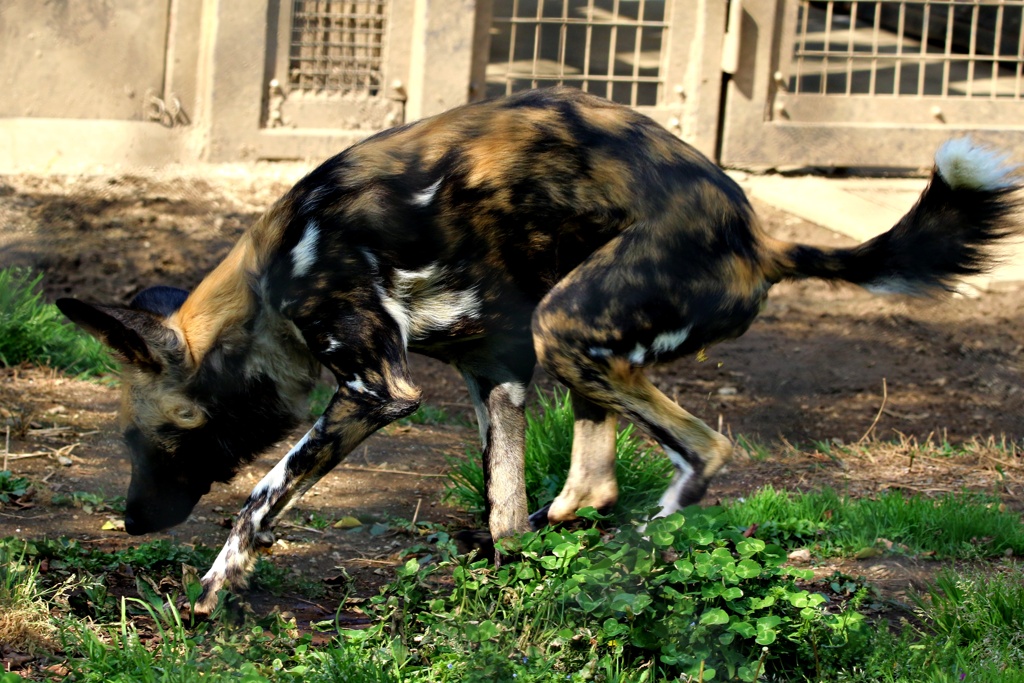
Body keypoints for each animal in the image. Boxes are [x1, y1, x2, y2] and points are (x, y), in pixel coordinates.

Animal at [59, 87, 1019, 614]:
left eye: (155, 438)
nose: (131, 521)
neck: (269, 291)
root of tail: (760, 241)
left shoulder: (374, 389)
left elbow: (259, 500)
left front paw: (217, 588)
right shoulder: (498, 376)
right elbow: (503, 514)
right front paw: (495, 584)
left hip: (569, 325)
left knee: (706, 450)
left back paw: (644, 540)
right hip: (570, 348)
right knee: (590, 486)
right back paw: (584, 546)